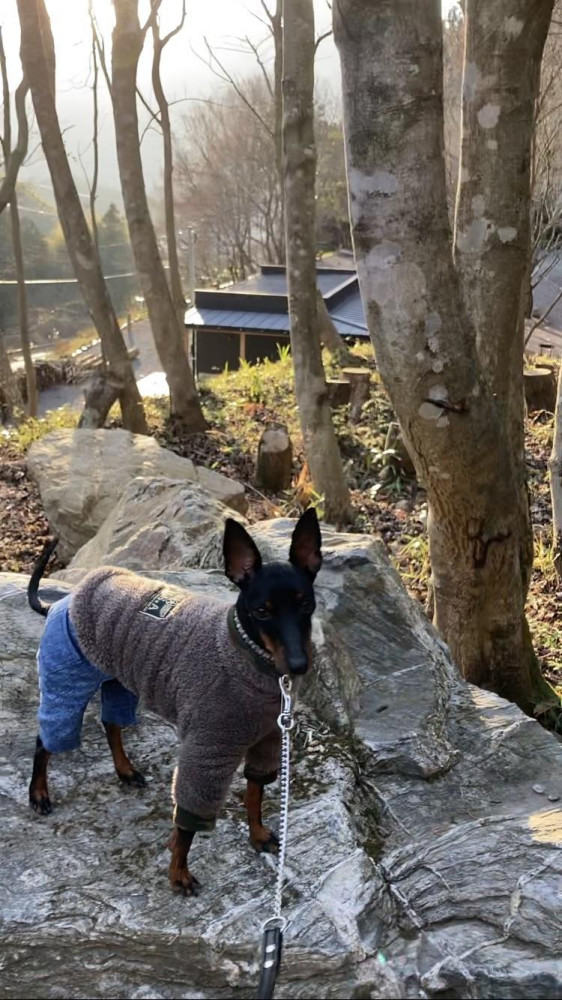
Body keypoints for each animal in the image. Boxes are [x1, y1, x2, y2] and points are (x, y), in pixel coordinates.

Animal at [28, 512, 322, 896]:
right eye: (261, 612)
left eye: (306, 605)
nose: (300, 665)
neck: (251, 661)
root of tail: (64, 600)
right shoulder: (205, 754)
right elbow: (186, 829)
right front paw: (177, 873)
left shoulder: (267, 742)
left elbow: (254, 796)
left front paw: (257, 835)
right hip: (67, 681)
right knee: (45, 739)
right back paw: (39, 793)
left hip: (120, 681)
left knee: (111, 724)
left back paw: (125, 770)